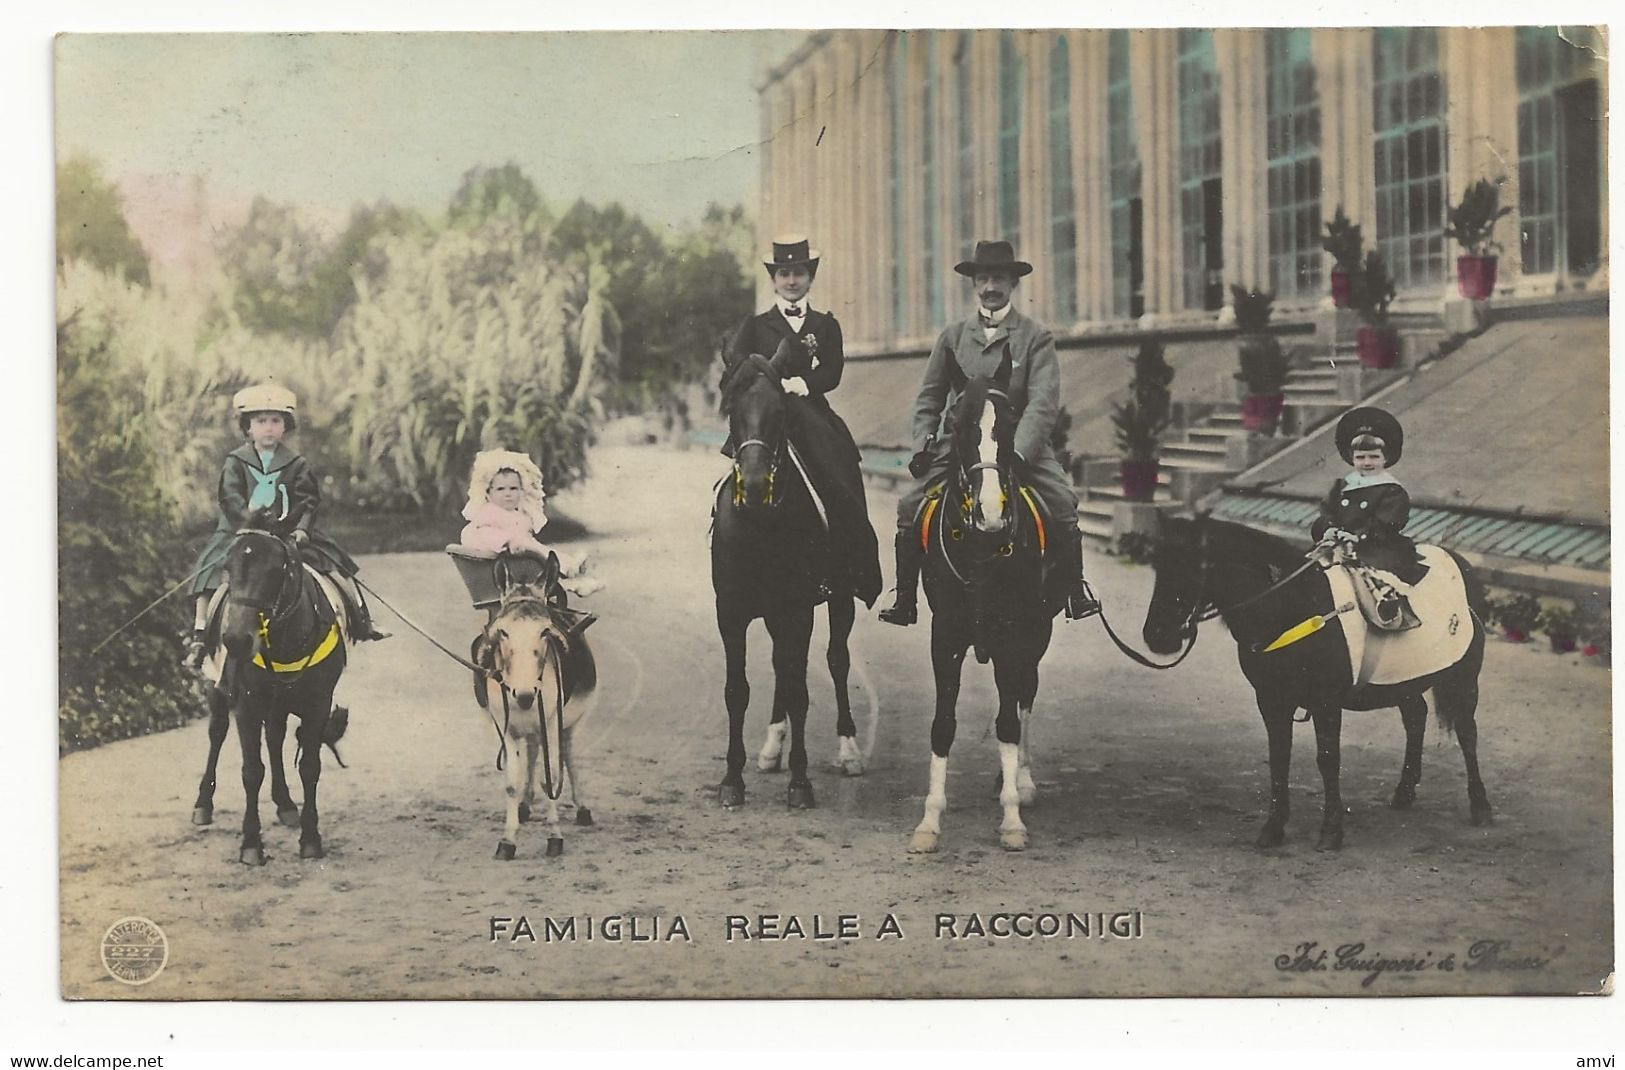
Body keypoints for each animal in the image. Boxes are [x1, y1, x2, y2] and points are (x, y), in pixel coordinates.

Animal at [194, 504, 352, 865]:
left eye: (275, 570)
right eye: (227, 567)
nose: (236, 640)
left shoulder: (318, 703)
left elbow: (309, 766)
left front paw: (310, 838)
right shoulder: (247, 704)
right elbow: (252, 771)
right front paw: (251, 843)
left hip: (279, 705)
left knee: (276, 739)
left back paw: (285, 804)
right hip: (222, 693)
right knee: (217, 733)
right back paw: (202, 804)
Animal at [711, 349, 864, 809]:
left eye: (780, 413)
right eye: (732, 410)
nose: (755, 485)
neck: (761, 523)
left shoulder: (798, 609)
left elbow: (801, 689)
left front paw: (800, 781)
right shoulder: (732, 613)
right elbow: (737, 690)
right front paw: (733, 779)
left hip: (838, 599)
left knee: (835, 660)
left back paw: (848, 749)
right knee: (783, 666)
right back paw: (771, 746)